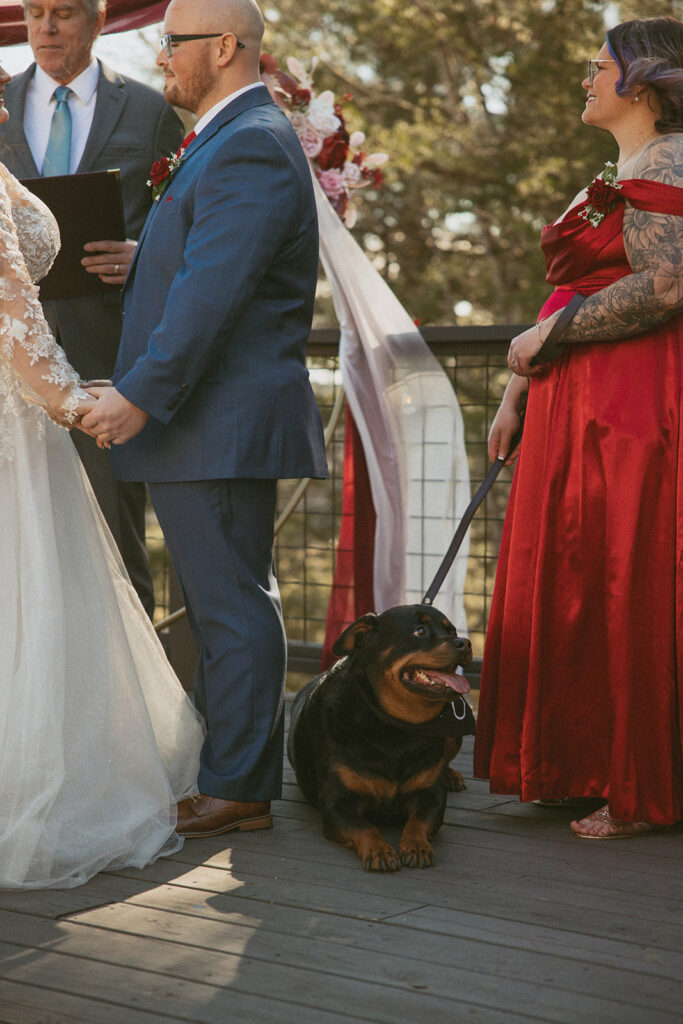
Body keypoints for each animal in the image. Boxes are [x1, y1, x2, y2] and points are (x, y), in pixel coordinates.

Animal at [288, 606, 475, 872]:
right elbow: (365, 827)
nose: (465, 643)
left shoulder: (431, 796)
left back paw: (450, 775)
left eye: (453, 631)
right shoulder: (337, 802)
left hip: (452, 735)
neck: (395, 726)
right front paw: (380, 850)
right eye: (420, 631)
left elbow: (418, 821)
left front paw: (416, 845)